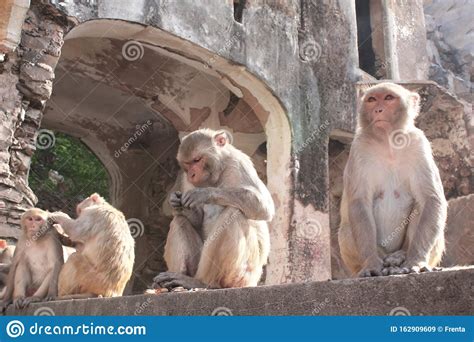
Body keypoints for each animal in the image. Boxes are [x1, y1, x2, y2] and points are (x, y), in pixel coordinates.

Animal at [154, 128, 276, 288]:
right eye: (187, 163)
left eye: (197, 160)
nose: (192, 174)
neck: (217, 175)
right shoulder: (186, 180)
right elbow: (196, 219)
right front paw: (177, 203)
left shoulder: (238, 163)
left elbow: (264, 207)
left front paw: (203, 194)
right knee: (179, 221)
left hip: (242, 275)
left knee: (234, 213)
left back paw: (200, 282)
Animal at [338, 83, 446, 278]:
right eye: (372, 99)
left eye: (388, 98)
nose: (378, 110)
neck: (388, 143)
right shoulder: (359, 148)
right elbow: (359, 202)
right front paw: (372, 263)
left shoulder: (419, 144)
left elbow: (431, 199)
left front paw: (416, 261)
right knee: (347, 227)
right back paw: (383, 260)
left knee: (422, 206)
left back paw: (400, 257)